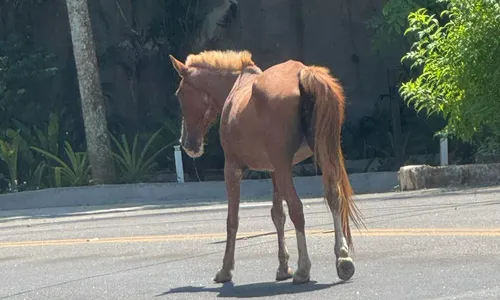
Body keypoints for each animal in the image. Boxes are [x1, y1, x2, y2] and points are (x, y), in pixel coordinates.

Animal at [169, 49, 364, 284]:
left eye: (179, 94)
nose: (187, 144)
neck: (234, 87)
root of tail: (303, 73)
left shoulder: (232, 168)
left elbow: (232, 219)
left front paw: (226, 269)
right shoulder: (273, 170)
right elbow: (277, 215)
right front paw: (282, 267)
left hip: (286, 164)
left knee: (298, 208)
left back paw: (304, 268)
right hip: (324, 154)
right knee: (334, 197)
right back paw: (343, 259)